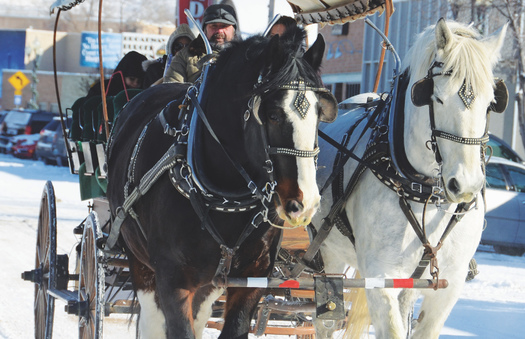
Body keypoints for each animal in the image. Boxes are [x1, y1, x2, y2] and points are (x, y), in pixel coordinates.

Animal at [105, 27, 338, 339]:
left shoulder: (252, 278)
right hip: (138, 259)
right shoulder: (172, 278)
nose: (305, 203)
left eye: (319, 115)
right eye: (273, 115)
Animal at [314, 19, 506, 339]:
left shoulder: (448, 284)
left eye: (491, 103)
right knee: (324, 319)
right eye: (437, 98)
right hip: (329, 255)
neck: (422, 189)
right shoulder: (380, 276)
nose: (465, 186)